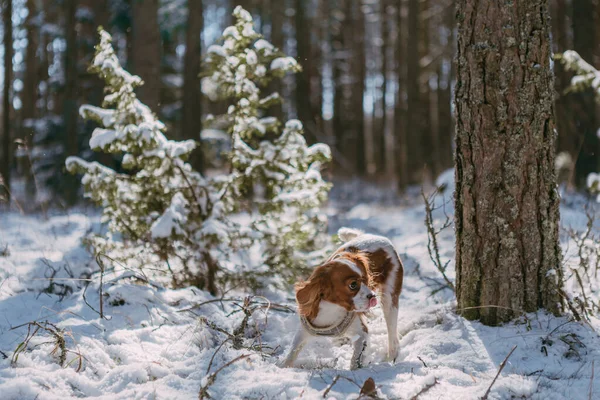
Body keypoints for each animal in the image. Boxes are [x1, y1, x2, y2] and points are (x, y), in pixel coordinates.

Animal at [280, 228, 404, 368]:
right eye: (353, 285)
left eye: (367, 280)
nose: (372, 296)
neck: (332, 309)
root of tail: (374, 236)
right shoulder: (304, 331)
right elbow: (292, 352)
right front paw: (283, 367)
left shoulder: (362, 334)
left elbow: (356, 359)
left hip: (389, 299)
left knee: (392, 334)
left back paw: (391, 358)